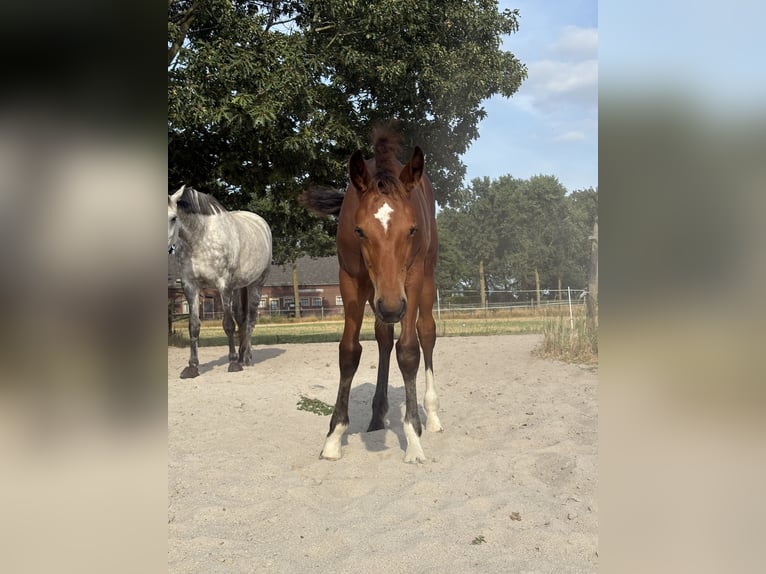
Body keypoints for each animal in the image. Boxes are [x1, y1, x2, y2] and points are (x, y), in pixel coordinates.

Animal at [168, 185, 272, 378]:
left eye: (173, 218)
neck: (200, 239)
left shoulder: (223, 285)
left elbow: (228, 324)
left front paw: (232, 363)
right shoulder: (190, 286)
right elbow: (193, 326)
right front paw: (192, 366)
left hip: (256, 285)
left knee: (251, 320)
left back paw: (246, 358)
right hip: (238, 288)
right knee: (242, 318)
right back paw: (241, 356)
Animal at [302, 126, 443, 463]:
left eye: (412, 230)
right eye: (360, 231)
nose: (392, 308)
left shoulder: (410, 281)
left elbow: (409, 350)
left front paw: (413, 437)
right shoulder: (351, 281)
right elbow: (349, 351)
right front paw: (334, 436)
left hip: (422, 280)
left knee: (425, 331)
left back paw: (431, 415)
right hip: (375, 293)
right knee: (383, 337)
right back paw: (378, 415)